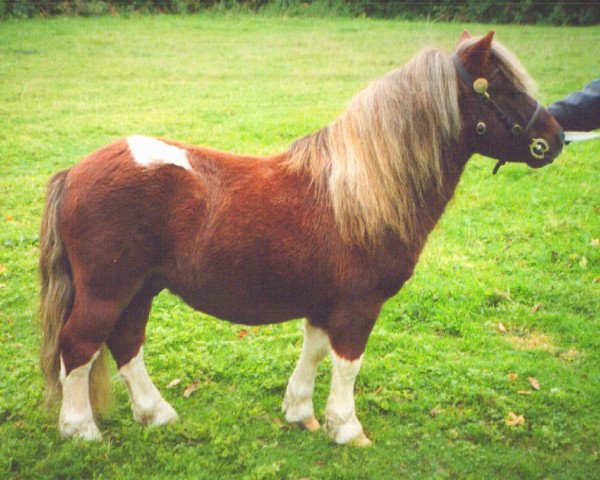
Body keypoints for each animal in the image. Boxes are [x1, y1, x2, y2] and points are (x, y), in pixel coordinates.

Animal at [41, 31, 564, 444]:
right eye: (503, 87)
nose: (557, 139)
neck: (359, 190)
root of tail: (76, 172)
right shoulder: (359, 305)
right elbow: (348, 362)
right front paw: (346, 427)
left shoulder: (324, 301)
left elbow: (313, 350)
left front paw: (300, 413)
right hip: (108, 291)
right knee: (79, 345)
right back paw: (80, 429)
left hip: (139, 289)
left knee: (126, 343)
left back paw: (156, 414)